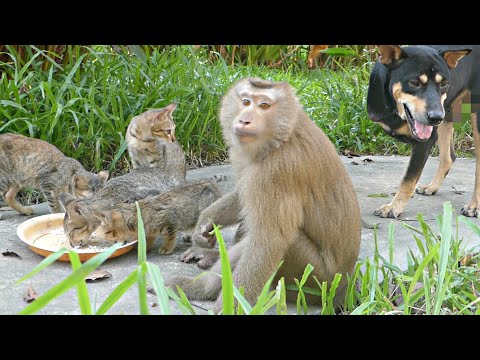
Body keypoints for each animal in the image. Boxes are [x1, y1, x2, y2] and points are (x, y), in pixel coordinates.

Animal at [167, 76, 362, 312]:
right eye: (246, 102)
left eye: (264, 106)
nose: (244, 120)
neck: (281, 137)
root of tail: (345, 286)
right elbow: (242, 194)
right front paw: (206, 222)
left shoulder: (275, 172)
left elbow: (268, 242)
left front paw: (228, 307)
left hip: (314, 279)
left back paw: (203, 287)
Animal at [368, 45, 480, 219]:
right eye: (414, 83)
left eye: (444, 84)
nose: (436, 117)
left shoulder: (424, 142)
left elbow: (408, 180)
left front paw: (393, 207)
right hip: (447, 112)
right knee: (448, 157)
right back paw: (432, 187)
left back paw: (474, 206)